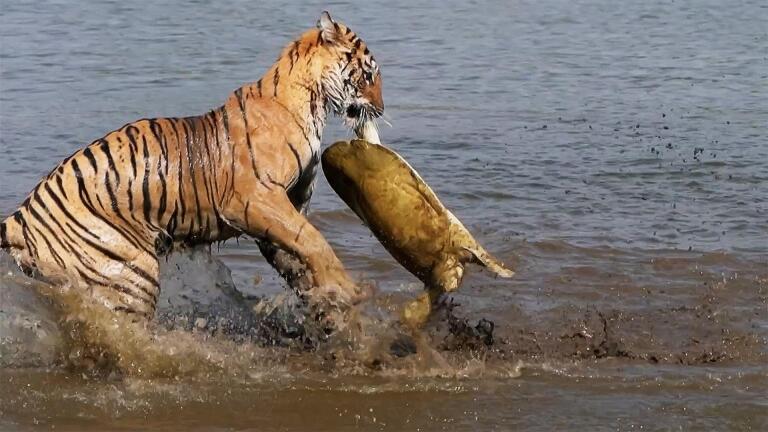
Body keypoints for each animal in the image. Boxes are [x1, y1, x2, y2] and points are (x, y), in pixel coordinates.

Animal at [0, 11, 383, 328]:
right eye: (369, 74)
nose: (380, 109)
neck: (311, 100)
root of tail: (20, 216)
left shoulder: (288, 204)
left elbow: (299, 255)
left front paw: (327, 306)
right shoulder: (252, 199)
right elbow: (314, 241)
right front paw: (351, 292)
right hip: (130, 273)